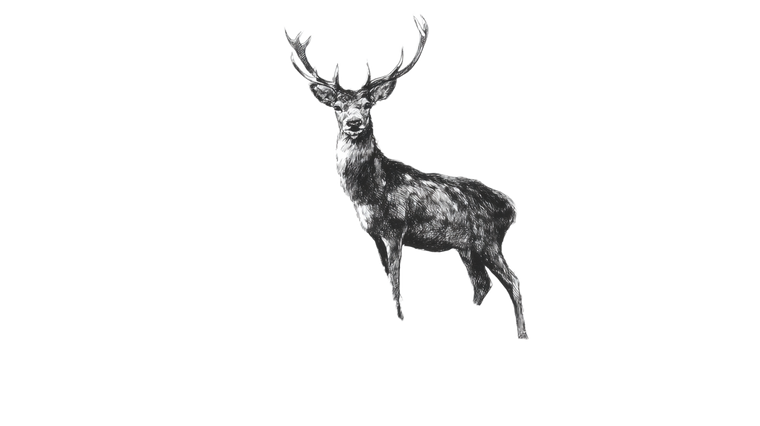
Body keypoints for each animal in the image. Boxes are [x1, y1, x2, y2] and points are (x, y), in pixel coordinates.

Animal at [281, 10, 529, 341]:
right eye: (338, 107)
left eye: (368, 105)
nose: (354, 123)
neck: (368, 191)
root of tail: (512, 209)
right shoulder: (374, 233)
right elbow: (388, 277)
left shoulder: (395, 228)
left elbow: (397, 280)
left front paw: (401, 318)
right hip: (467, 247)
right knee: (481, 284)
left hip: (489, 240)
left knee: (513, 281)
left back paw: (522, 334)